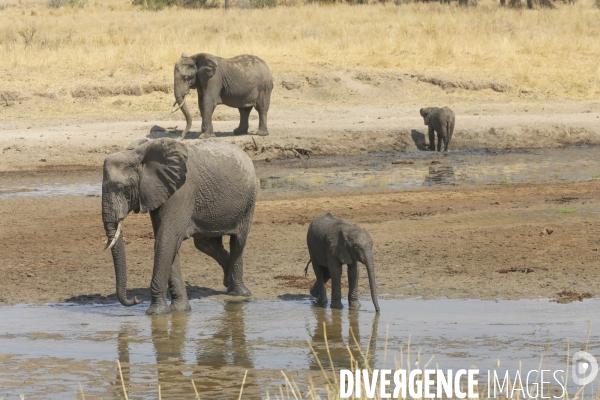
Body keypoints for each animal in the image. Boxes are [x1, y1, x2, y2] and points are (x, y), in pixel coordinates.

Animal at [102, 138, 256, 316]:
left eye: (122, 188)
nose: (136, 299)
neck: (139, 155)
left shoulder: (179, 193)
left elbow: (166, 240)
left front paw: (156, 313)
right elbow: (167, 243)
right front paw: (180, 310)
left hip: (248, 203)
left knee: (238, 241)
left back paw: (239, 293)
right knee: (207, 245)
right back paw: (227, 280)